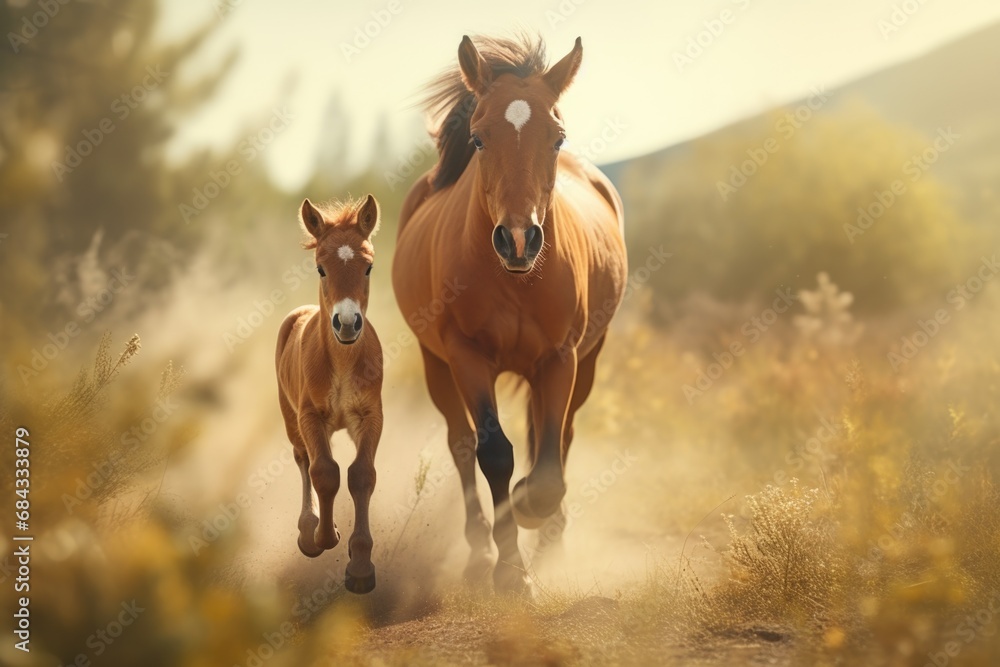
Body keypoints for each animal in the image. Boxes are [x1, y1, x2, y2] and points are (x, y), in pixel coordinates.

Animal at [275, 195, 384, 594]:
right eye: (321, 268)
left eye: (368, 267)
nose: (347, 323)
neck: (340, 360)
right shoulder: (310, 416)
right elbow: (324, 470)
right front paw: (324, 536)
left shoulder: (370, 415)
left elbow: (361, 474)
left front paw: (361, 566)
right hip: (290, 419)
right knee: (302, 458)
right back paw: (308, 530)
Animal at [392, 34, 628, 594]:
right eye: (479, 140)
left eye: (557, 138)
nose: (519, 239)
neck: (516, 278)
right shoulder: (466, 356)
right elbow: (493, 453)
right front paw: (509, 570)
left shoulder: (562, 357)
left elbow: (548, 465)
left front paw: (532, 516)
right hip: (436, 365)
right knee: (460, 444)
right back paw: (480, 550)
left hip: (586, 361)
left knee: (557, 437)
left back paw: (549, 542)